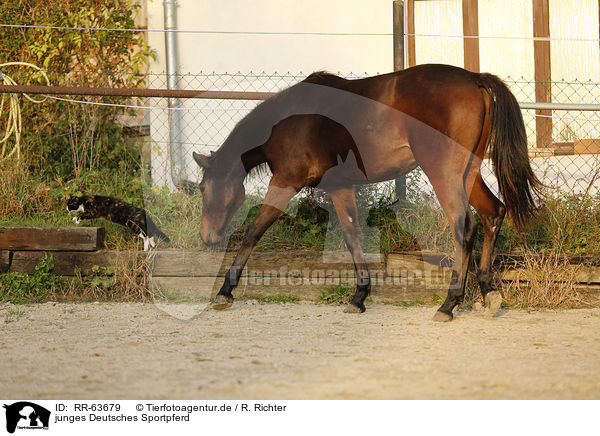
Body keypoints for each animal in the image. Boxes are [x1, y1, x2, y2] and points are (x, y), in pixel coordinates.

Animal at [195, 63, 540, 320]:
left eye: (203, 187)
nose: (207, 236)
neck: (287, 120)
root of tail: (474, 78)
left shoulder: (284, 181)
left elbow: (254, 231)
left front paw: (225, 291)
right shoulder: (339, 186)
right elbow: (352, 236)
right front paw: (359, 295)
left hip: (444, 173)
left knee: (464, 227)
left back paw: (448, 303)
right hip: (468, 173)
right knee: (493, 214)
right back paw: (488, 293)